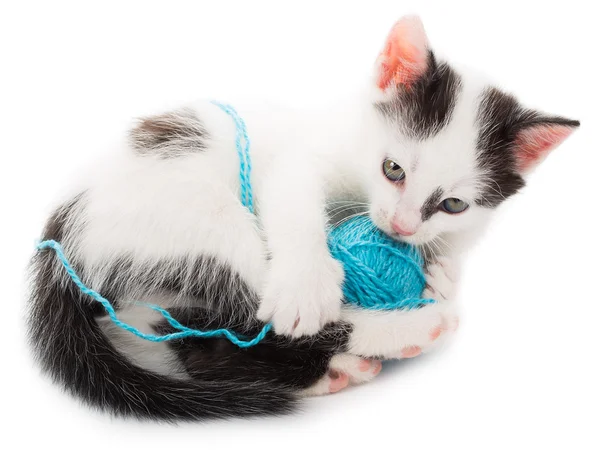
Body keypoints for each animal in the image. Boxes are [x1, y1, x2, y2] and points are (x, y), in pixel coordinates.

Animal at [27, 16, 576, 420]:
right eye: (393, 169)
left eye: (454, 205)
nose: (401, 228)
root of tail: (60, 237)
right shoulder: (302, 161)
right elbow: (294, 205)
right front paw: (307, 284)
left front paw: (443, 272)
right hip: (196, 214)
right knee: (243, 316)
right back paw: (410, 330)